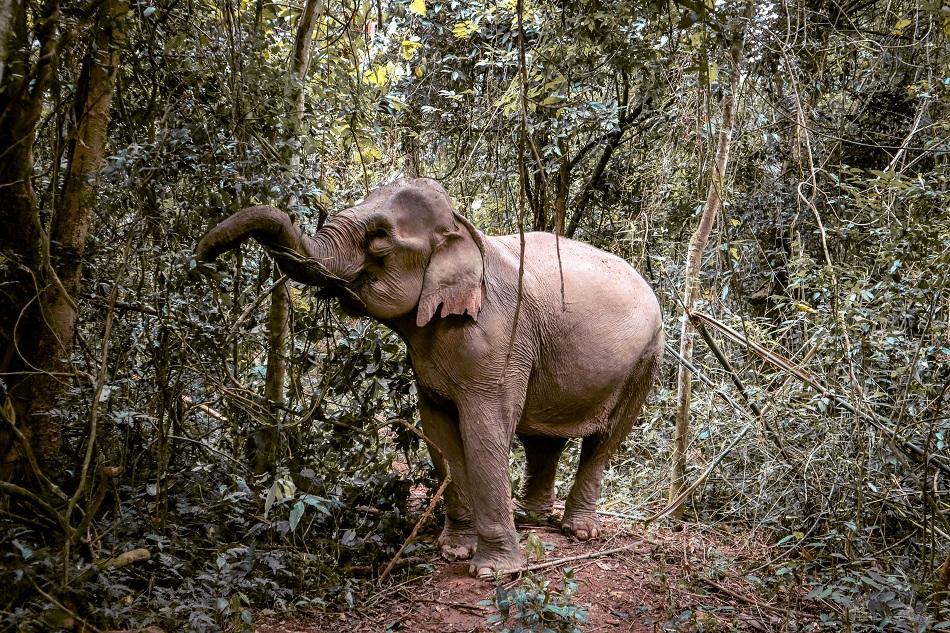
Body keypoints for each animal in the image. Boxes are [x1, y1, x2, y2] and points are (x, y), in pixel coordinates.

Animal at [195, 177, 663, 578]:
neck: (462, 228)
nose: (202, 255)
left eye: (380, 237)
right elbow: (437, 430)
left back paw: (578, 530)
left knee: (606, 438)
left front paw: (493, 572)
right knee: (543, 438)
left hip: (646, 360)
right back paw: (532, 519)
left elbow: (484, 431)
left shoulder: (500, 341)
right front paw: (454, 550)